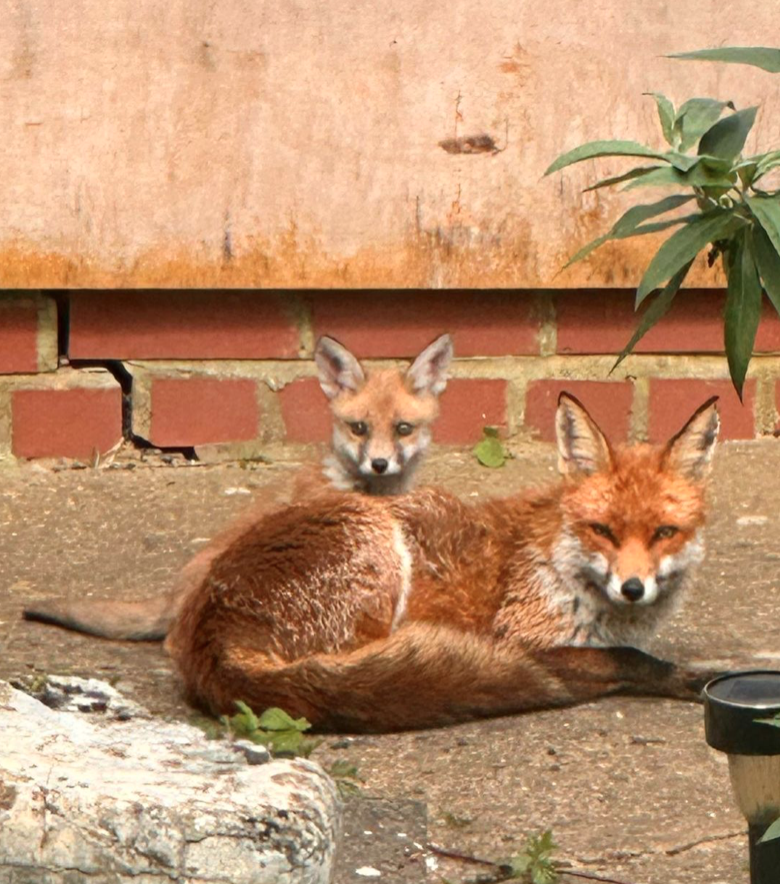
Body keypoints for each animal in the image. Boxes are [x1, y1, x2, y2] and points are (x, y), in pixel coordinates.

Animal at [168, 394, 724, 732]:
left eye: (664, 533)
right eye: (603, 530)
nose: (633, 587)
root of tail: (209, 634)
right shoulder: (524, 638)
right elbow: (636, 660)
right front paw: (693, 680)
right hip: (378, 547)